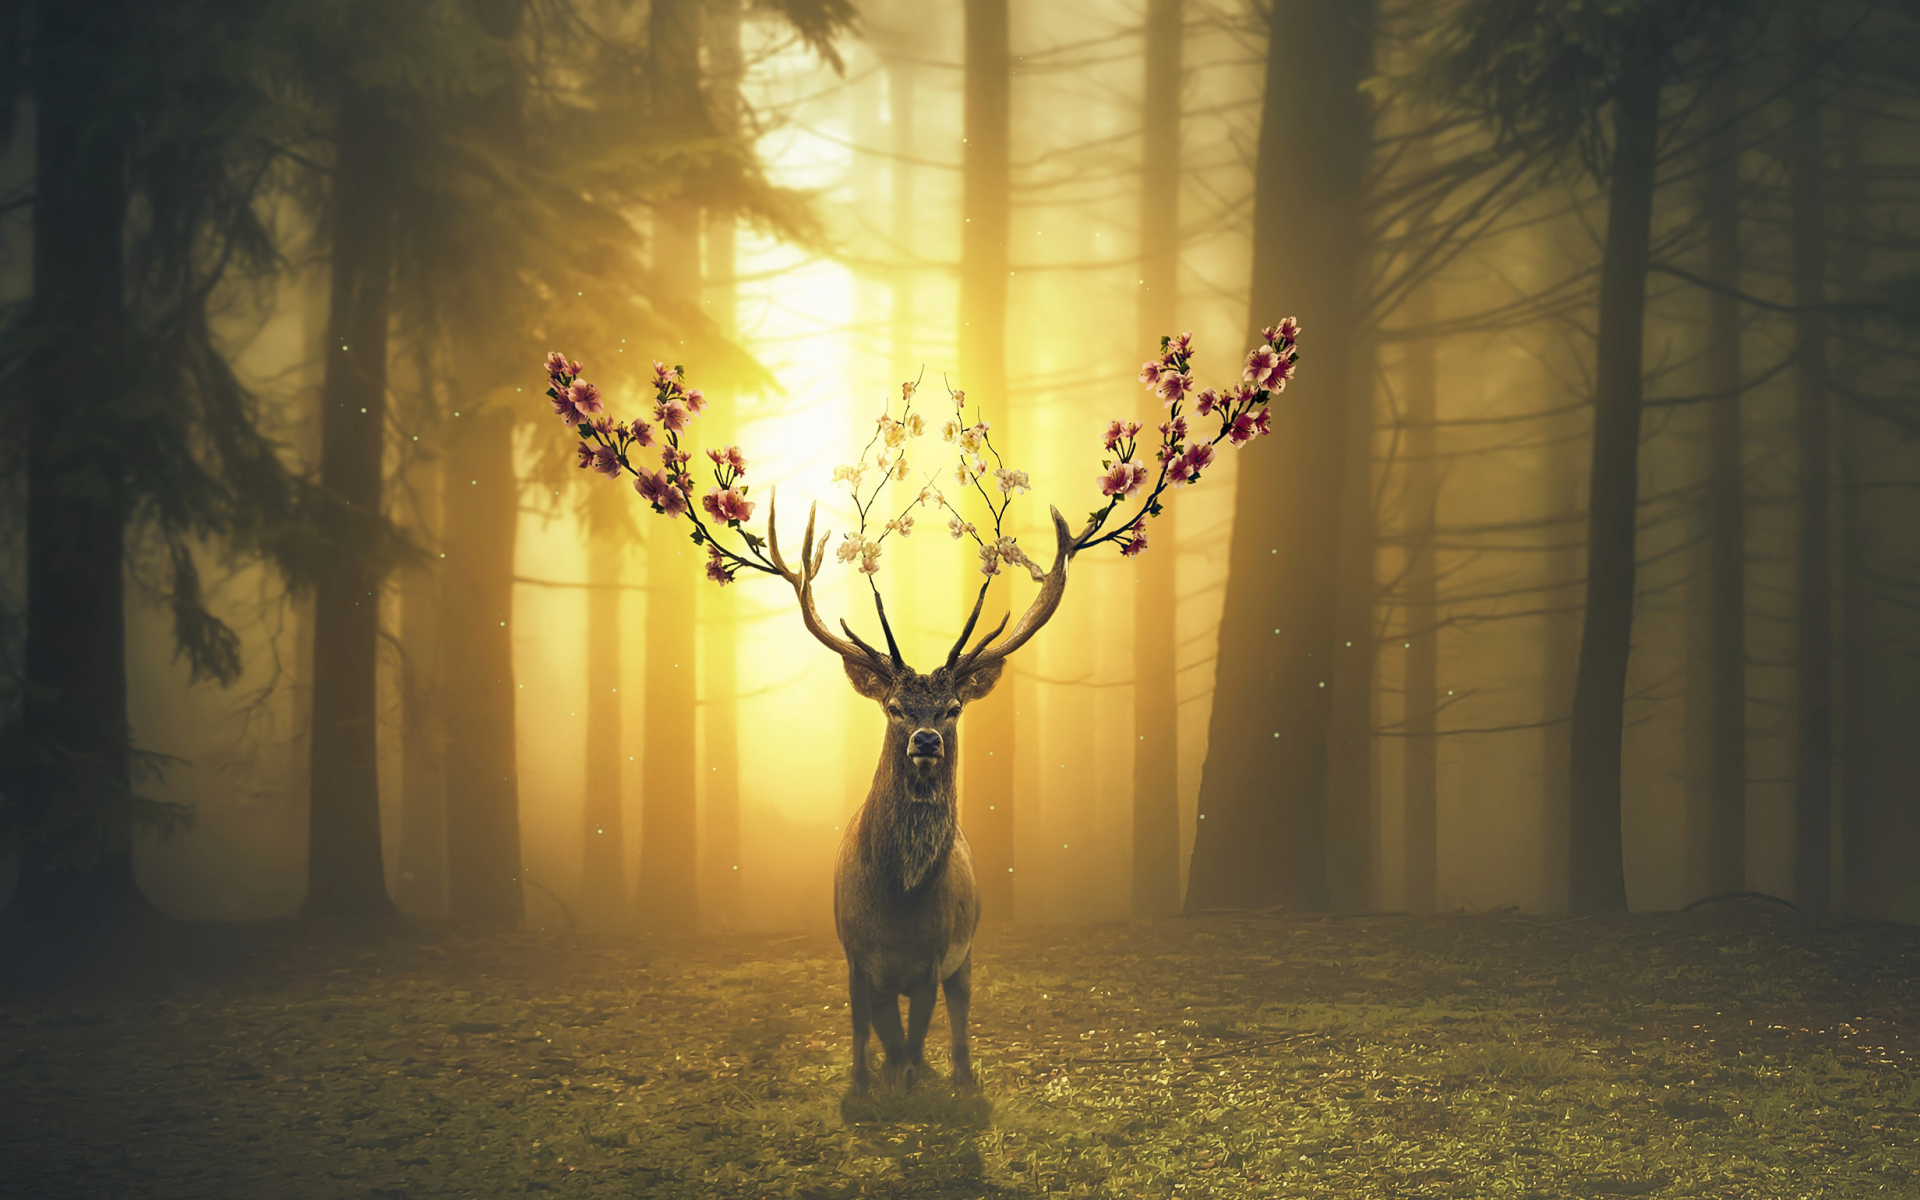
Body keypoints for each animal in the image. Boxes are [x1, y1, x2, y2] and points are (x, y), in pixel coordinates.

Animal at [765, 494, 1083, 1094]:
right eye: (894, 706)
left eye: (953, 708)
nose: (927, 739)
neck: (898, 902)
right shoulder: (852, 953)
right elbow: (864, 1029)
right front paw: (863, 1085)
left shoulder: (936, 958)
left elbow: (919, 1035)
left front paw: (913, 1085)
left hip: (968, 951)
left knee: (958, 1014)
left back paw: (960, 1077)